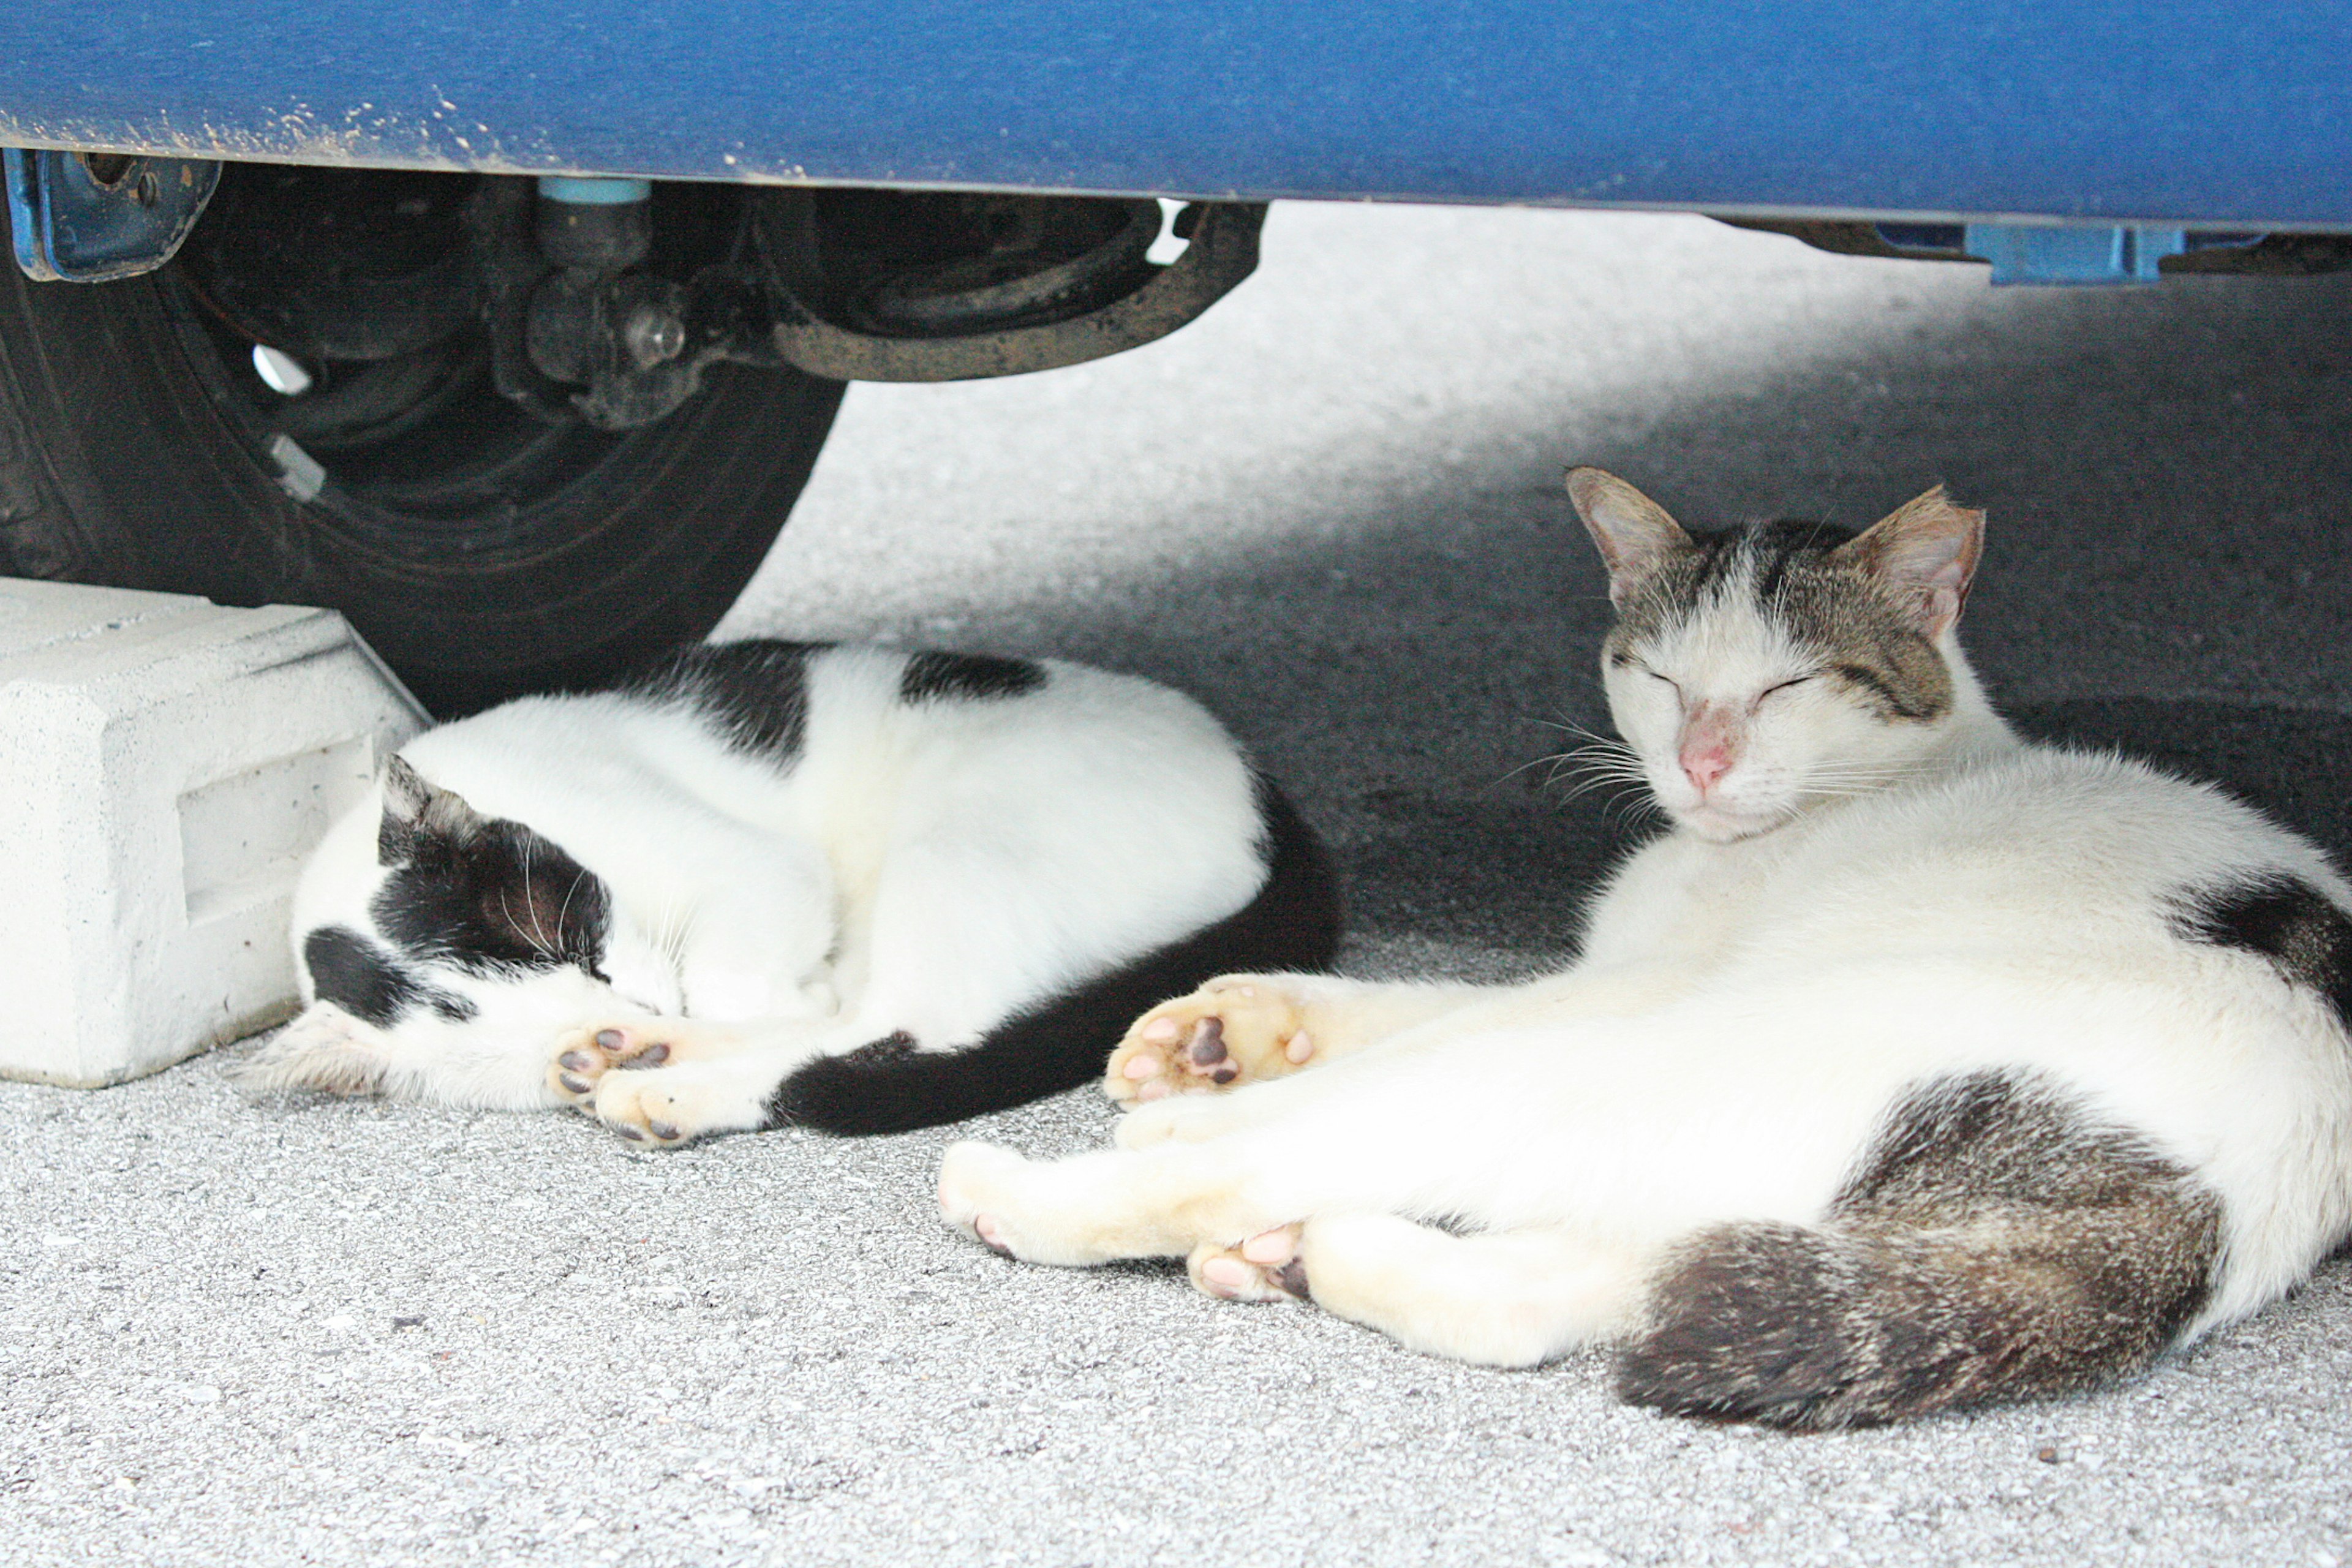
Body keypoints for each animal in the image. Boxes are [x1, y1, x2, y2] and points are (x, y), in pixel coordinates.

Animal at [243, 639, 1345, 1142]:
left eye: (578, 943)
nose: (618, 1011)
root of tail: (1270, 801)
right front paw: (601, 1054)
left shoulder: (747, 874)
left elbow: (755, 979)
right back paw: (653, 1067)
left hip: (963, 848)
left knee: (899, 1027)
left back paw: (667, 1073)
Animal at [936, 472, 2352, 1429]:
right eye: (1663, 677)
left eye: (1786, 687)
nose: (1702, 758)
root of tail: (2200, 1199)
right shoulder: (1594, 975)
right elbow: (1412, 994)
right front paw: (1225, 1029)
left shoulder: (1629, 987)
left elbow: (1442, 1016)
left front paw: (1201, 1093)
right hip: (1726, 1185)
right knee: (1562, 1291)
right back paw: (1310, 1248)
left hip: (1659, 1058)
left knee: (1305, 1155)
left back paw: (1042, 1192)